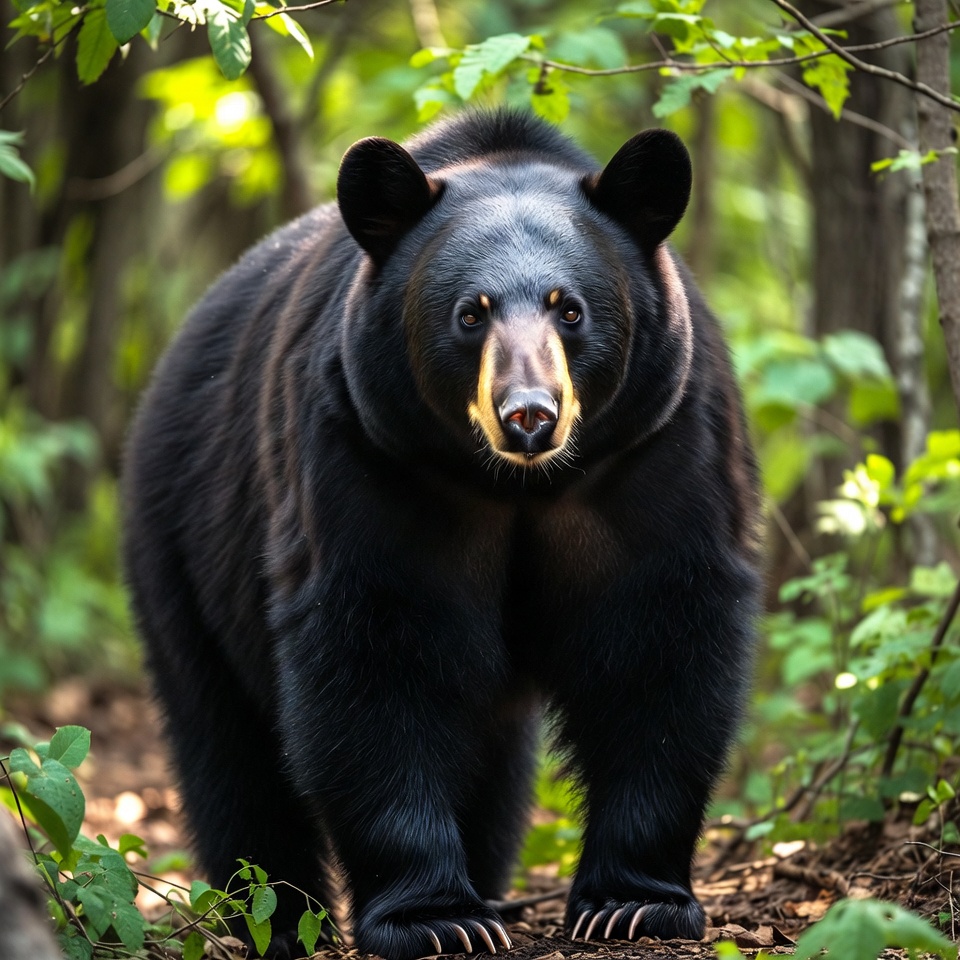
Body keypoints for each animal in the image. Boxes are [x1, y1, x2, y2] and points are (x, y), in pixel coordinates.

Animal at [122, 110, 761, 960]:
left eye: (569, 308)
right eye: (471, 311)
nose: (529, 415)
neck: (517, 485)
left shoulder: (658, 445)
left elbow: (660, 642)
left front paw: (633, 903)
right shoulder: (370, 454)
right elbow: (376, 656)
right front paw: (434, 918)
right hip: (183, 543)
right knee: (226, 742)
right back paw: (278, 917)